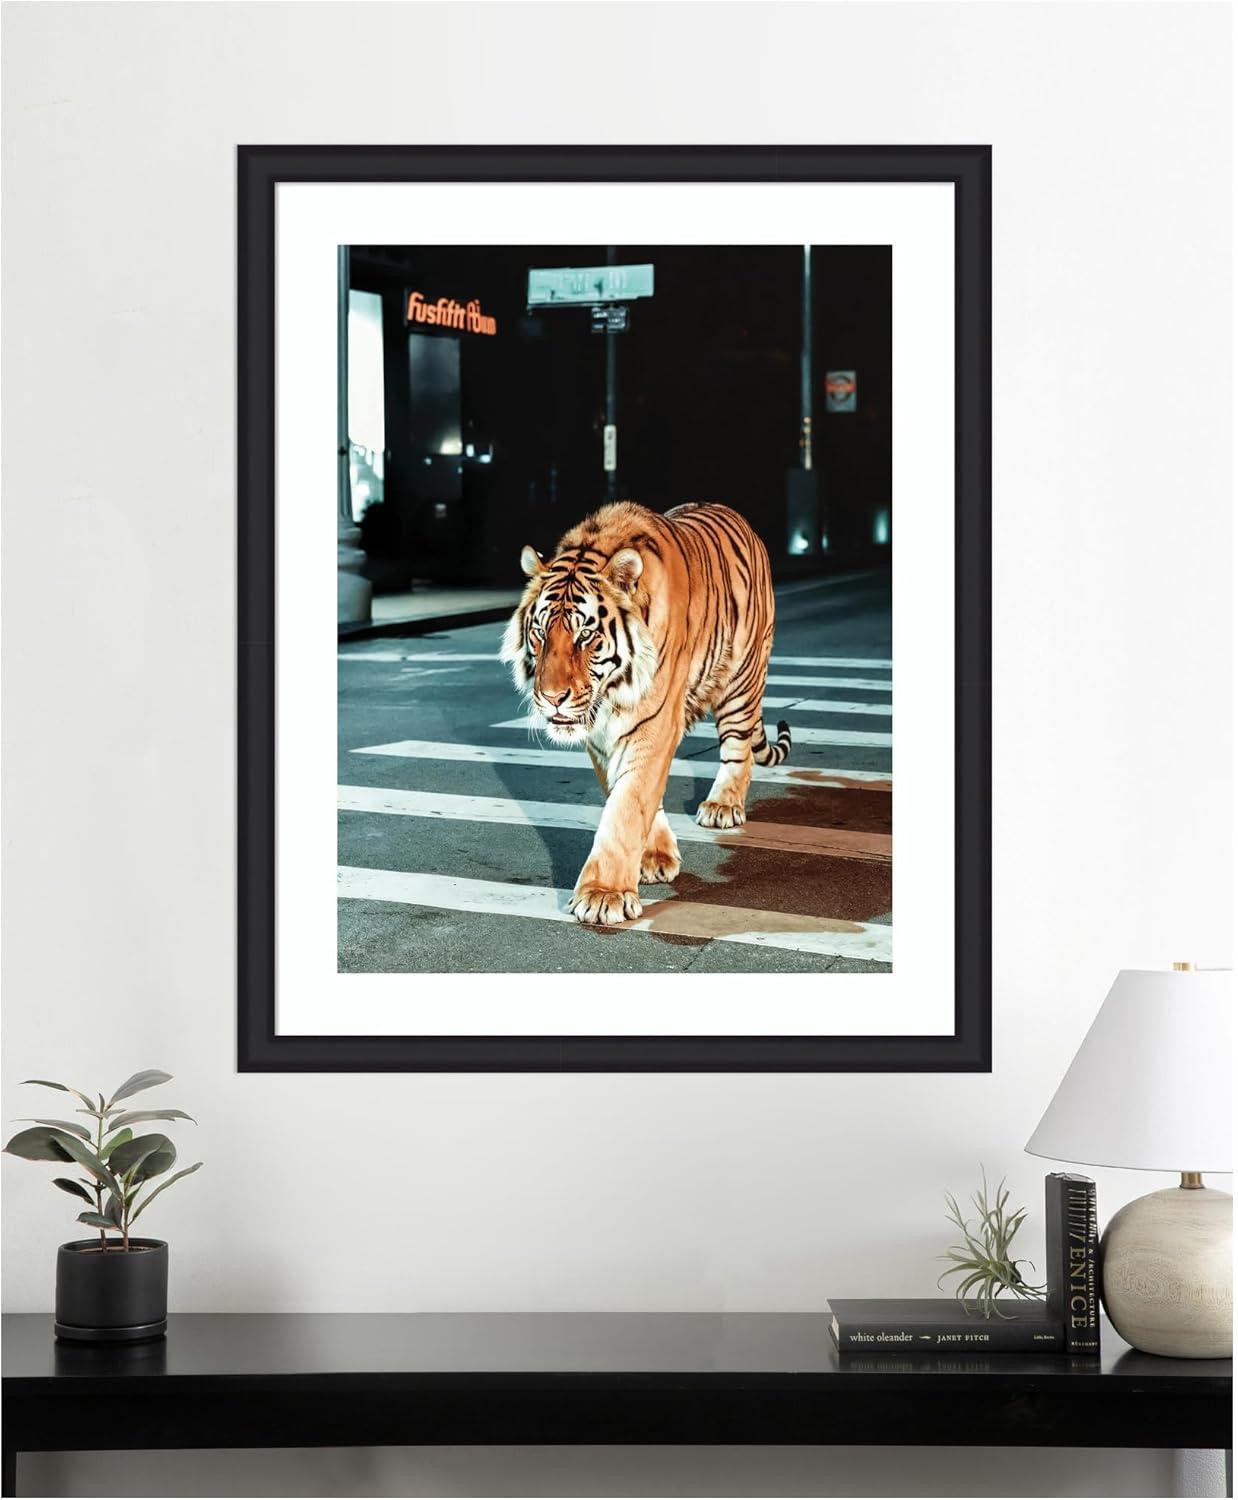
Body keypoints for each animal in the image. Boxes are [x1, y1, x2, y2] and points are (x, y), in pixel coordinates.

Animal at [500, 500, 791, 926]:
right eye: (540, 632)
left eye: (585, 635)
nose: (552, 698)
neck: (611, 692)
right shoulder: (601, 737)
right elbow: (629, 794)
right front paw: (654, 857)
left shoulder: (653, 723)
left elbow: (627, 804)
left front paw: (602, 895)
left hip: (741, 678)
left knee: (739, 748)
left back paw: (723, 805)